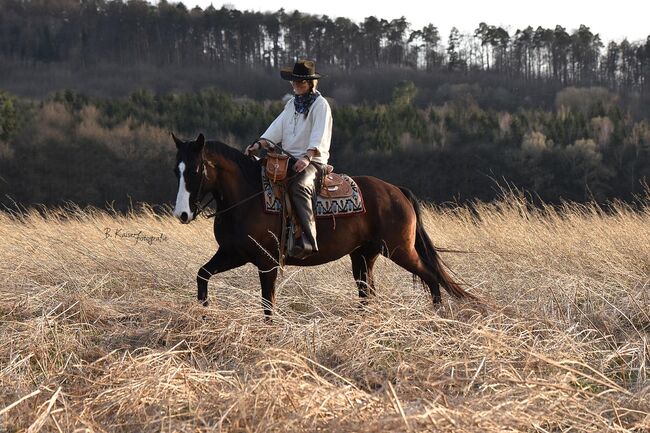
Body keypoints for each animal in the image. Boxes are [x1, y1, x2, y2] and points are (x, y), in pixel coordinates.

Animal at [170, 133, 468, 316]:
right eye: (176, 170)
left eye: (195, 170)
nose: (182, 214)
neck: (247, 195)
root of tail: (397, 190)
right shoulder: (233, 253)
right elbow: (202, 275)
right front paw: (204, 313)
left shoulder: (267, 262)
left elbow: (267, 303)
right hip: (363, 255)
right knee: (367, 292)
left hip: (399, 250)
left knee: (431, 277)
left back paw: (436, 316)